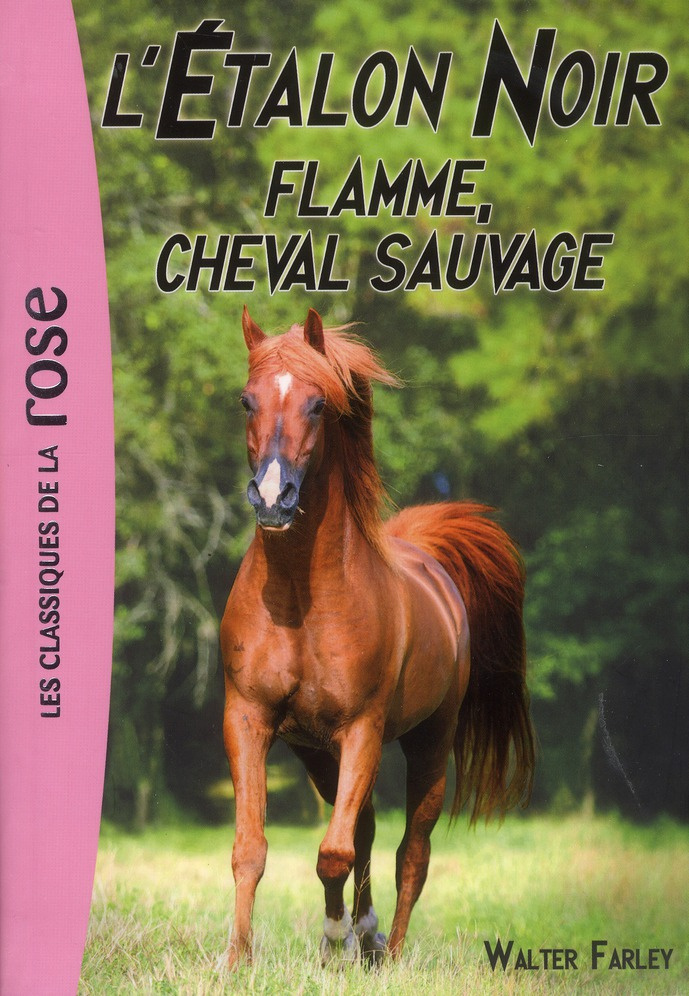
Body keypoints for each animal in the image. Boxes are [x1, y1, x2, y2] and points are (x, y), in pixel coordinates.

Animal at [220, 306, 535, 968]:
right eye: (245, 400)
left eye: (318, 404)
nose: (272, 497)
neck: (300, 599)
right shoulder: (250, 719)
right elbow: (252, 849)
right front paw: (238, 960)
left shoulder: (362, 727)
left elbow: (333, 853)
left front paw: (334, 938)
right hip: (319, 752)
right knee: (362, 830)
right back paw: (362, 935)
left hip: (429, 745)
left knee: (410, 851)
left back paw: (387, 950)